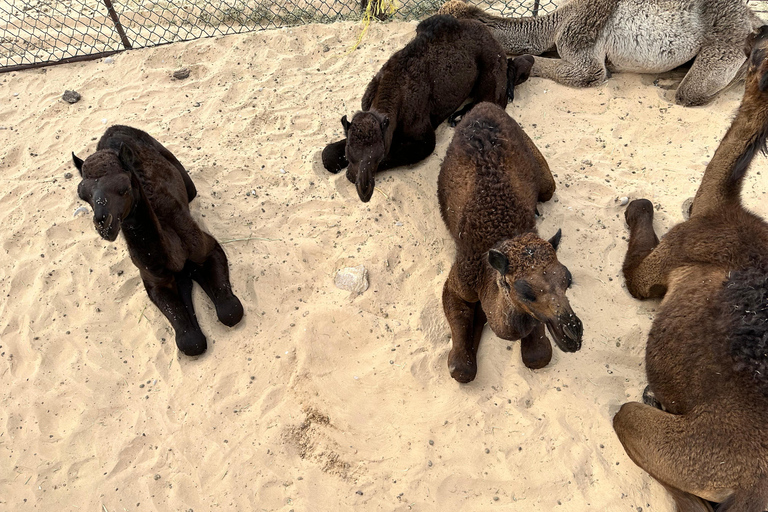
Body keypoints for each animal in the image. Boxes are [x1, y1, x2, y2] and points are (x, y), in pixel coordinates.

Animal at [74, 125, 243, 356]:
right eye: (83, 195)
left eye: (124, 188)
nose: (104, 224)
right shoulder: (153, 280)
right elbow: (191, 341)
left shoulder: (206, 246)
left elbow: (231, 311)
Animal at [320, 14, 536, 202]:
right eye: (349, 153)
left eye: (379, 156)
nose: (363, 189)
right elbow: (327, 154)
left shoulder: (424, 139)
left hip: (492, 66)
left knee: (494, 99)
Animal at [438, 0, 760, 106]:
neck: (555, 24)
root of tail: (753, 21)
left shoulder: (579, 46)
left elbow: (587, 73)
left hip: (726, 46)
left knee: (693, 93)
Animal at [616, 27, 768, 512]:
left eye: (760, 50)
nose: (751, 31)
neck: (721, 208)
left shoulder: (667, 259)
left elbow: (639, 246)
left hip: (684, 448)